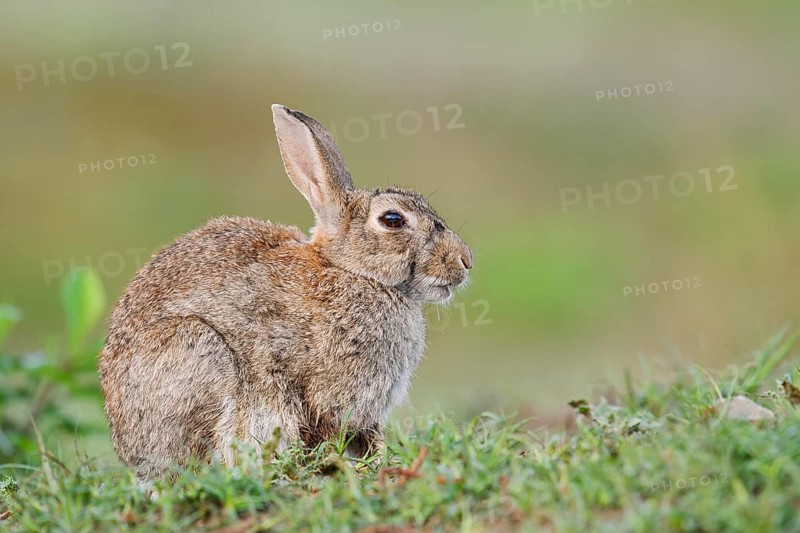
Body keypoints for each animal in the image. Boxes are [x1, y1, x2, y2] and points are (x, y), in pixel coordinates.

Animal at [99, 104, 473, 481]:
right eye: (393, 220)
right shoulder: (315, 391)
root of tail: (129, 450)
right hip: (199, 352)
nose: (465, 260)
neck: (351, 272)